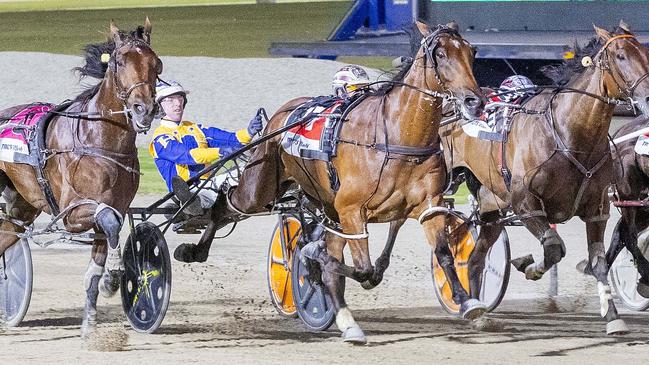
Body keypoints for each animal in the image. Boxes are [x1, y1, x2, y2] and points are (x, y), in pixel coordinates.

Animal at [0, 19, 161, 336]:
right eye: (119, 62)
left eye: (156, 62)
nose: (144, 109)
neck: (99, 141)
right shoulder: (73, 214)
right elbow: (109, 221)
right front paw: (114, 276)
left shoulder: (114, 207)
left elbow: (97, 264)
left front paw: (90, 322)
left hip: (21, 207)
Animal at [175, 21, 484, 342]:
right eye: (440, 54)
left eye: (471, 51)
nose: (474, 101)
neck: (395, 137)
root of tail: (285, 111)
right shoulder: (351, 210)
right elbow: (359, 268)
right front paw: (313, 257)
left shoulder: (428, 205)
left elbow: (443, 255)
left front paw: (467, 302)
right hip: (260, 186)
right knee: (226, 202)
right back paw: (195, 246)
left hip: (326, 204)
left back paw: (346, 319)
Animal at [440, 22, 648, 334]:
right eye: (620, 56)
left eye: (645, 53)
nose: (647, 97)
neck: (570, 134)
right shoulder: (526, 205)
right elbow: (553, 248)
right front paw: (529, 266)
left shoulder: (597, 209)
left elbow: (599, 261)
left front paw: (613, 317)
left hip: (491, 207)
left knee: (475, 259)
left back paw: (477, 311)